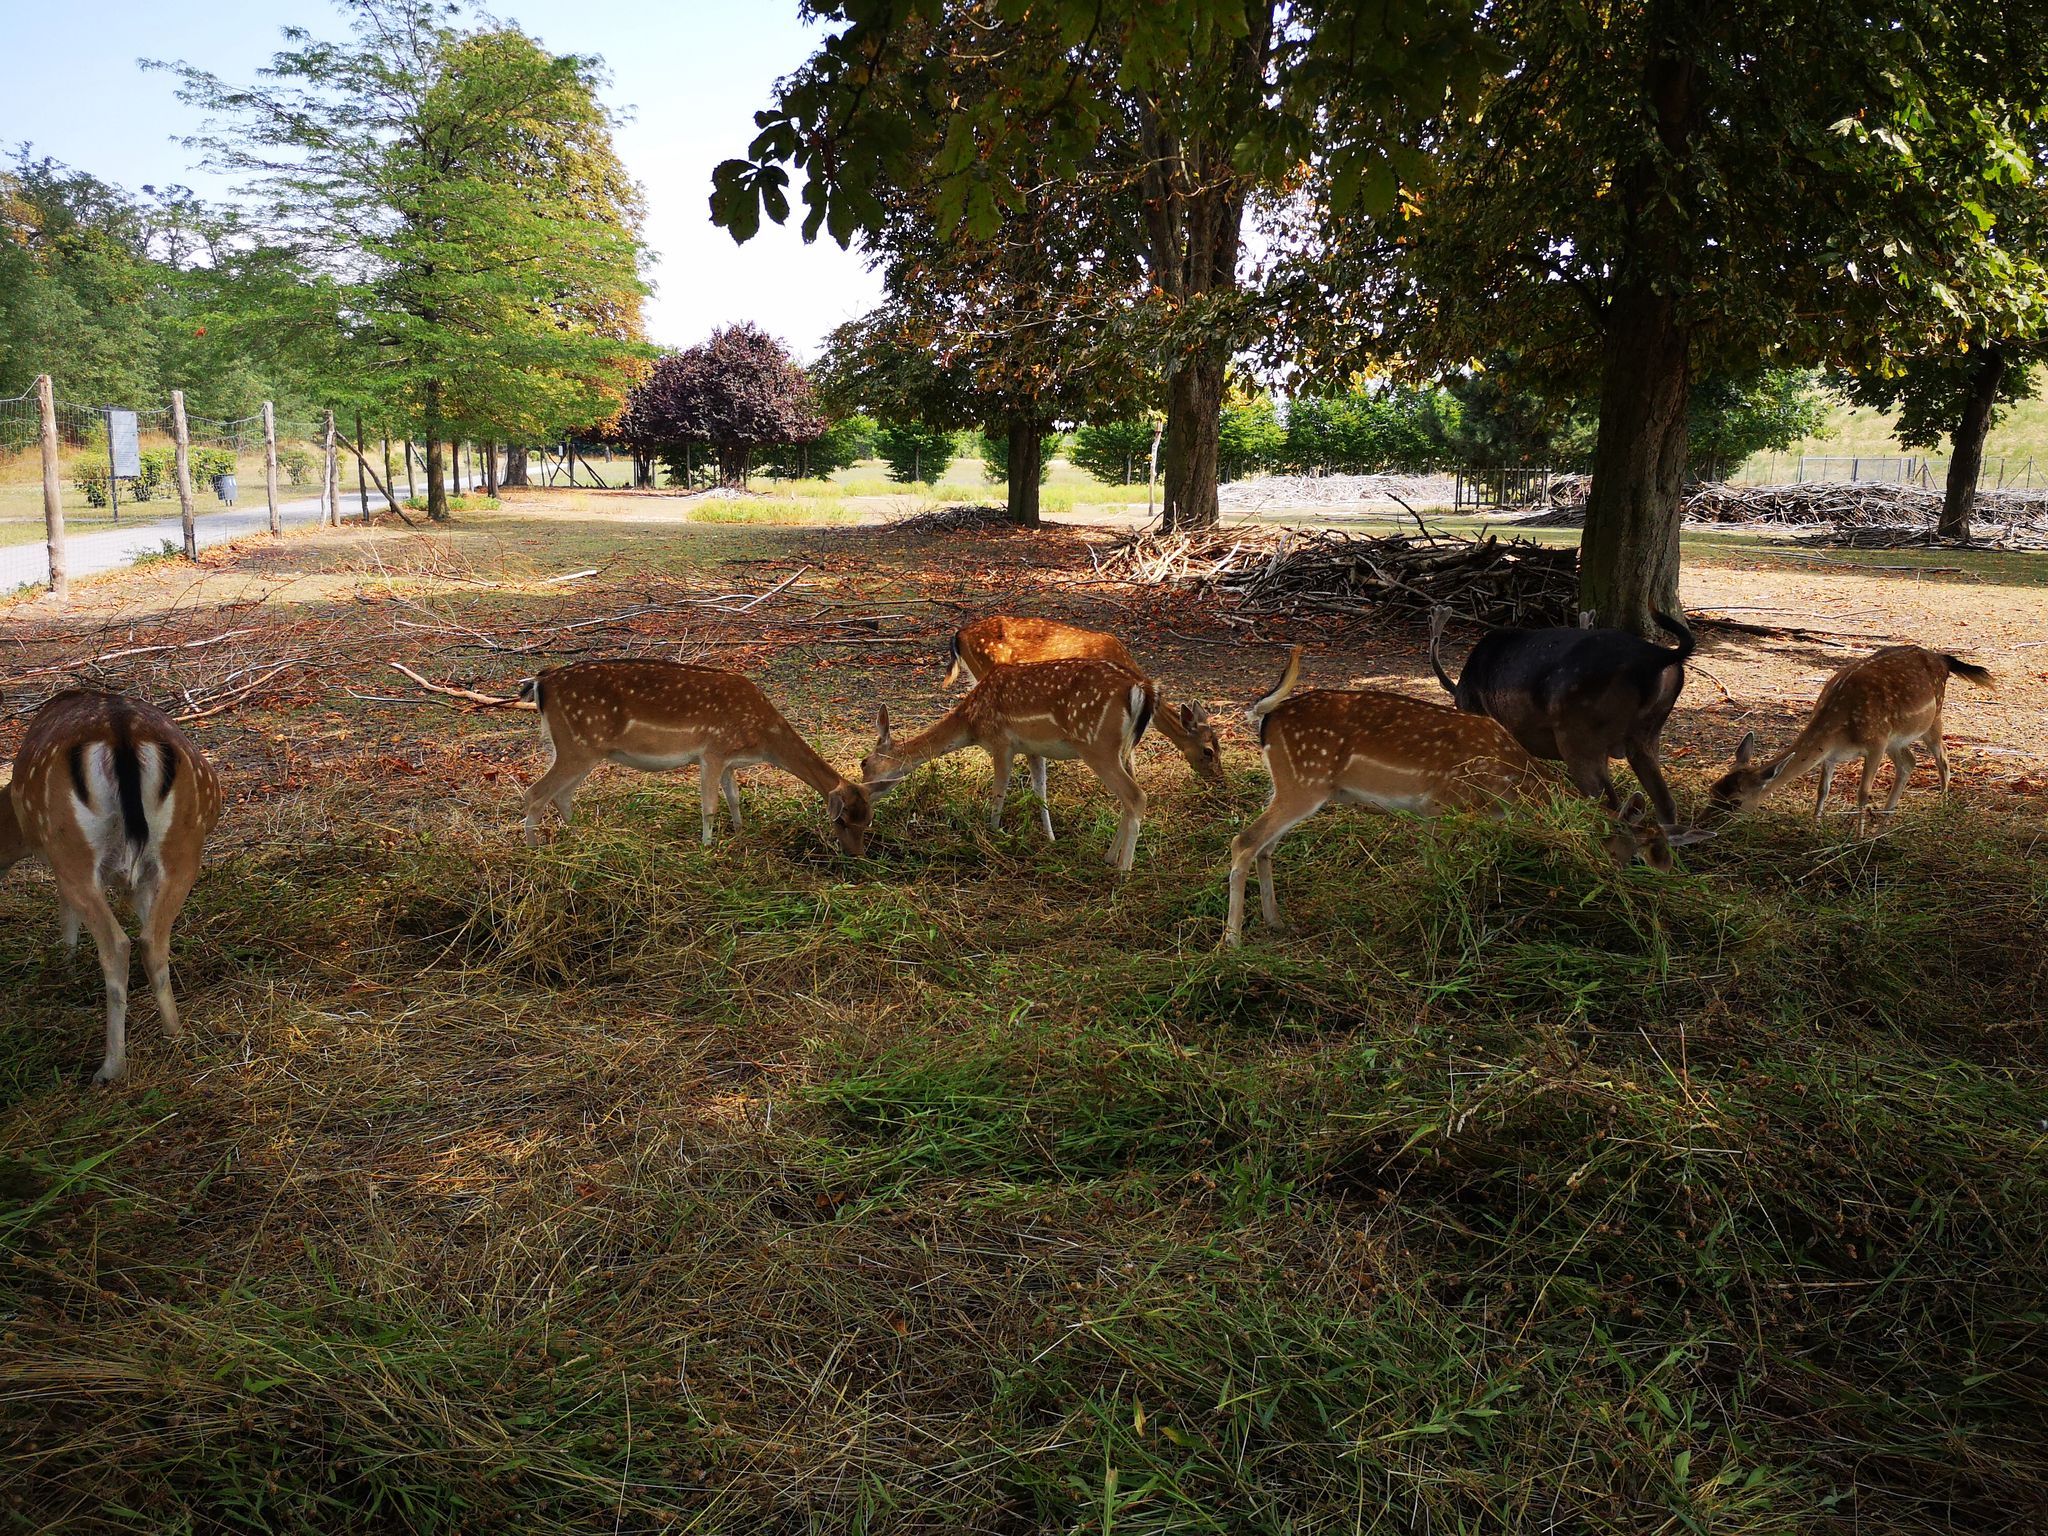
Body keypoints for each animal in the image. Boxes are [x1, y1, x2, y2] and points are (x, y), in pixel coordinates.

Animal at [1, 689, 222, 1084]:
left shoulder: (59, 864)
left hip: (71, 847)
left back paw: (110, 1067)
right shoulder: (141, 880)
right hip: (184, 844)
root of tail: (122, 735)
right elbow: (147, 918)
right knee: (151, 940)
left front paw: (66, 969)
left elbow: (66, 918)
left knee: (117, 944)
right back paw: (176, 1034)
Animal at [520, 660, 872, 854]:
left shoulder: (729, 760)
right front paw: (706, 846)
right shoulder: (712, 751)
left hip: (584, 750)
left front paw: (740, 832)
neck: (762, 737)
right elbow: (709, 806)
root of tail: (541, 681)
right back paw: (534, 851)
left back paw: (583, 835)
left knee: (561, 794)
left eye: (868, 821)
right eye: (841, 820)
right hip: (576, 746)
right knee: (535, 793)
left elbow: (734, 798)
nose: (857, 854)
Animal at [862, 658, 1155, 868]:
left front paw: (992, 834)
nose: (862, 795)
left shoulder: (1001, 741)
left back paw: (1123, 871)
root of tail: (1140, 689)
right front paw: (1050, 839)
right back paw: (1109, 857)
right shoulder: (1034, 748)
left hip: (1097, 744)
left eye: (864, 763)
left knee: (1136, 796)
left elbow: (999, 792)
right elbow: (1040, 792)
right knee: (1127, 799)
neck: (971, 724)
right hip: (1125, 750)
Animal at [1224, 648, 1671, 947]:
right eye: (1637, 853)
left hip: (1293, 786)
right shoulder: (1443, 803)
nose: (1623, 886)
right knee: (1244, 841)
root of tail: (1266, 718)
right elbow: (1438, 868)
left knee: (1265, 846)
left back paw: (1277, 923)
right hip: (1303, 782)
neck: (1511, 789)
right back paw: (1232, 940)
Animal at [1707, 645, 1993, 834]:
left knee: (1942, 758)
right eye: (1712, 790)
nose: (1704, 825)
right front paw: (1815, 828)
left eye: (1736, 802)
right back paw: (1884, 824)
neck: (1841, 729)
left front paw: (1857, 838)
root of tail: (1942, 659)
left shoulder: (1876, 743)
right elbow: (1822, 789)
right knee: (1909, 763)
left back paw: (1941, 809)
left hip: (1930, 720)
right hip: (1896, 739)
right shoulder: (1831, 754)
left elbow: (1863, 793)